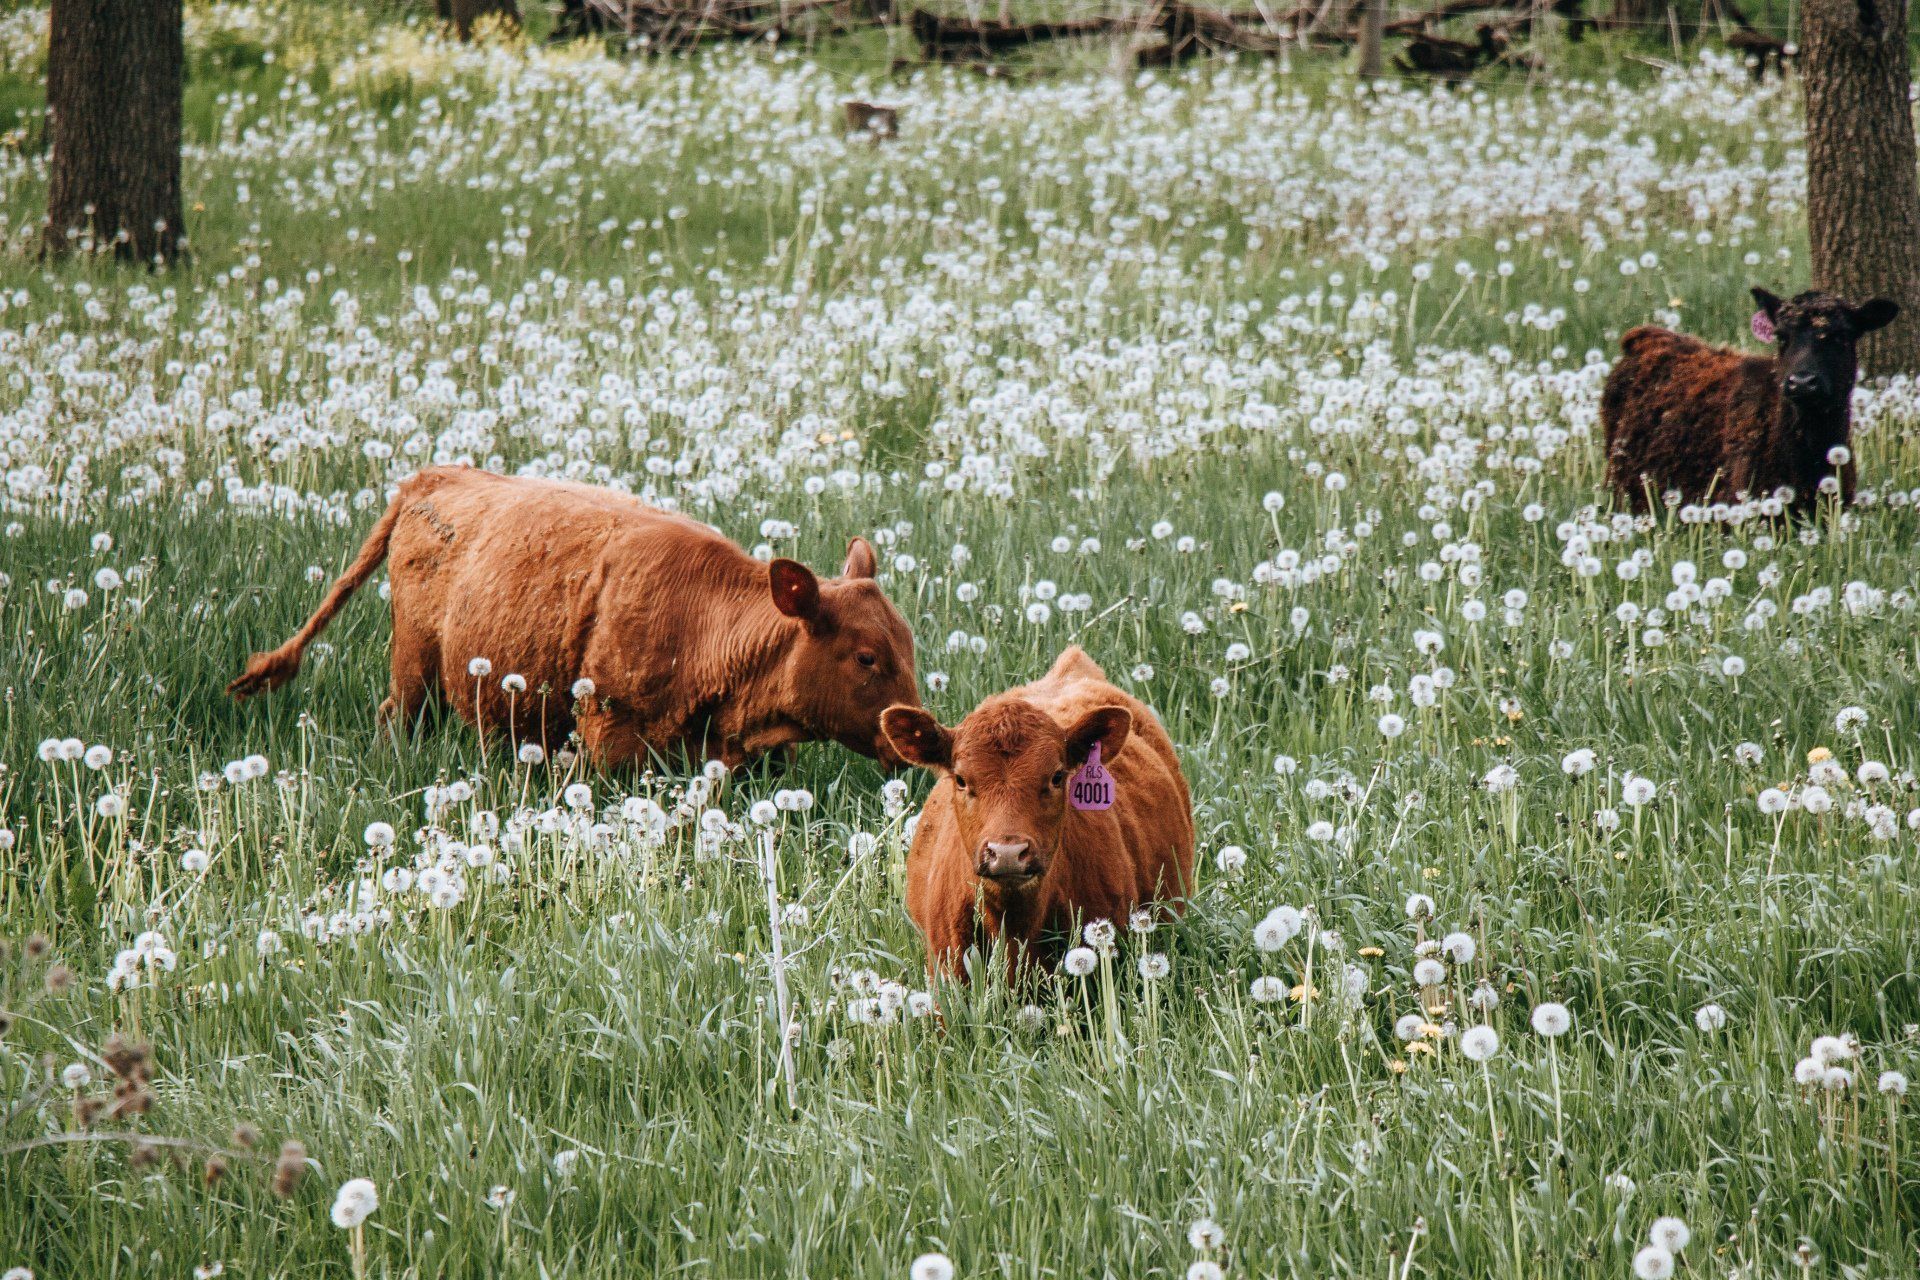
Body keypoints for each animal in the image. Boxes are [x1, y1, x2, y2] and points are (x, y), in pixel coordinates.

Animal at [228, 466, 921, 769]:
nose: (915, 732)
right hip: (415, 672)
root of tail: (433, 477)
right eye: (866, 656)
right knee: (399, 719)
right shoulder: (608, 733)